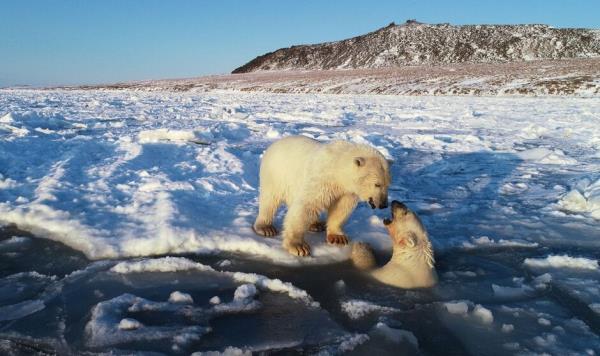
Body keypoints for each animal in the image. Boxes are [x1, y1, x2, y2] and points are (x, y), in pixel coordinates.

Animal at [252, 136, 390, 256]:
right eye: (377, 184)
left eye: (388, 184)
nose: (383, 204)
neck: (338, 166)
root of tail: (274, 144)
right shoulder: (322, 179)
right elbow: (307, 204)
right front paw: (298, 246)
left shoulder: (347, 190)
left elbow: (341, 208)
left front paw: (338, 237)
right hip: (276, 174)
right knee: (269, 200)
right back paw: (266, 228)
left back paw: (316, 224)